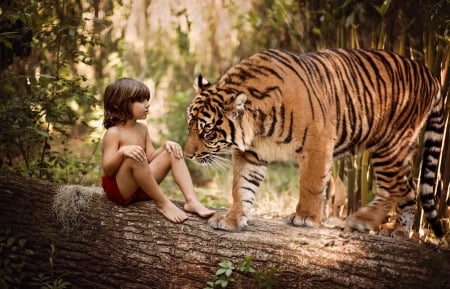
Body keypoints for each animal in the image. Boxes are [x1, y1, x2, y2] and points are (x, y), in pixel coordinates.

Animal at [185, 47, 444, 238]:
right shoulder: (251, 154)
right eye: (189, 126)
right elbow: (241, 187)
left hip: (389, 144)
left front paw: (306, 217)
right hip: (401, 150)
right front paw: (232, 219)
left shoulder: (318, 143)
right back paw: (399, 232)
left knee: (394, 187)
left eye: (207, 132)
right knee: (409, 189)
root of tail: (429, 72)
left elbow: (311, 184)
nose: (188, 155)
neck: (258, 128)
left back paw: (362, 220)